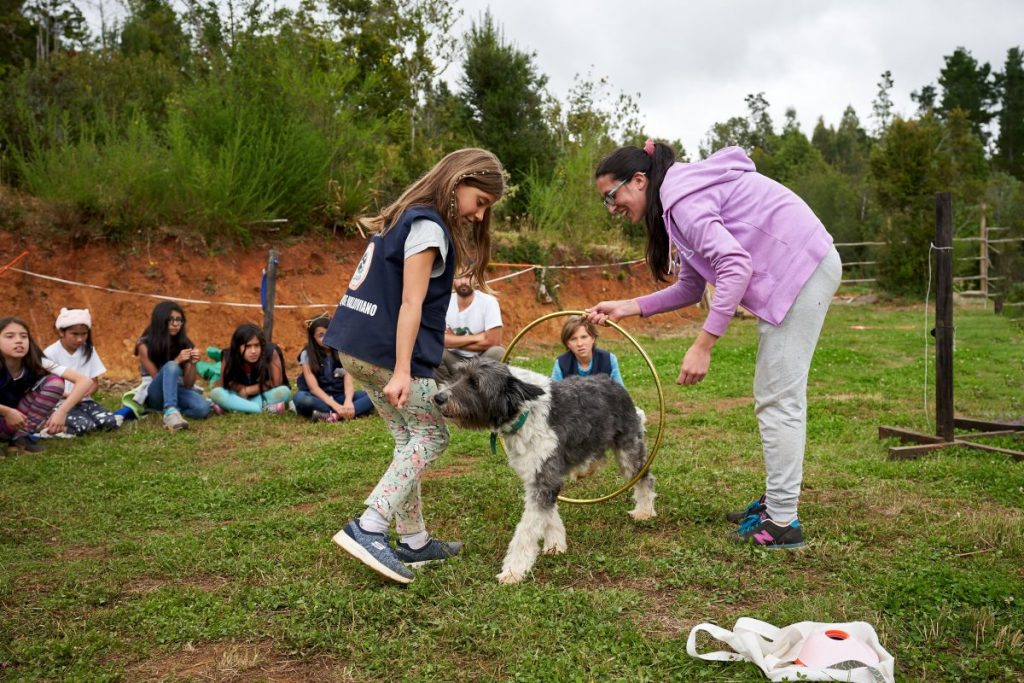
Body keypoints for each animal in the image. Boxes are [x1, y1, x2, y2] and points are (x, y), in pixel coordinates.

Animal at [432, 356, 655, 585]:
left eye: (475, 383)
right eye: (456, 376)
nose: (438, 397)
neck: (524, 411)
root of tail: (612, 382)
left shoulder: (545, 479)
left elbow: (527, 529)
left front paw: (513, 570)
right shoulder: (538, 477)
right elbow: (548, 516)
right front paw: (556, 544)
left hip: (629, 449)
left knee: (645, 479)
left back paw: (645, 511)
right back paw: (586, 470)